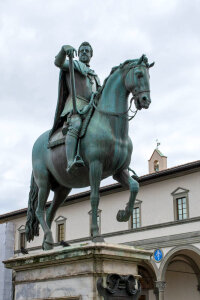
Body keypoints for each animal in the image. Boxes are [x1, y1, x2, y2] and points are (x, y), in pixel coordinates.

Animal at [25, 54, 154, 251]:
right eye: (139, 74)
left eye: (148, 75)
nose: (145, 100)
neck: (111, 126)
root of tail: (37, 143)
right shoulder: (96, 166)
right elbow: (94, 198)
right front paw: (96, 234)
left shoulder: (119, 171)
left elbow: (134, 186)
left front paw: (123, 214)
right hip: (43, 181)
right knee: (40, 210)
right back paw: (48, 239)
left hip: (62, 188)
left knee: (50, 212)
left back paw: (48, 243)